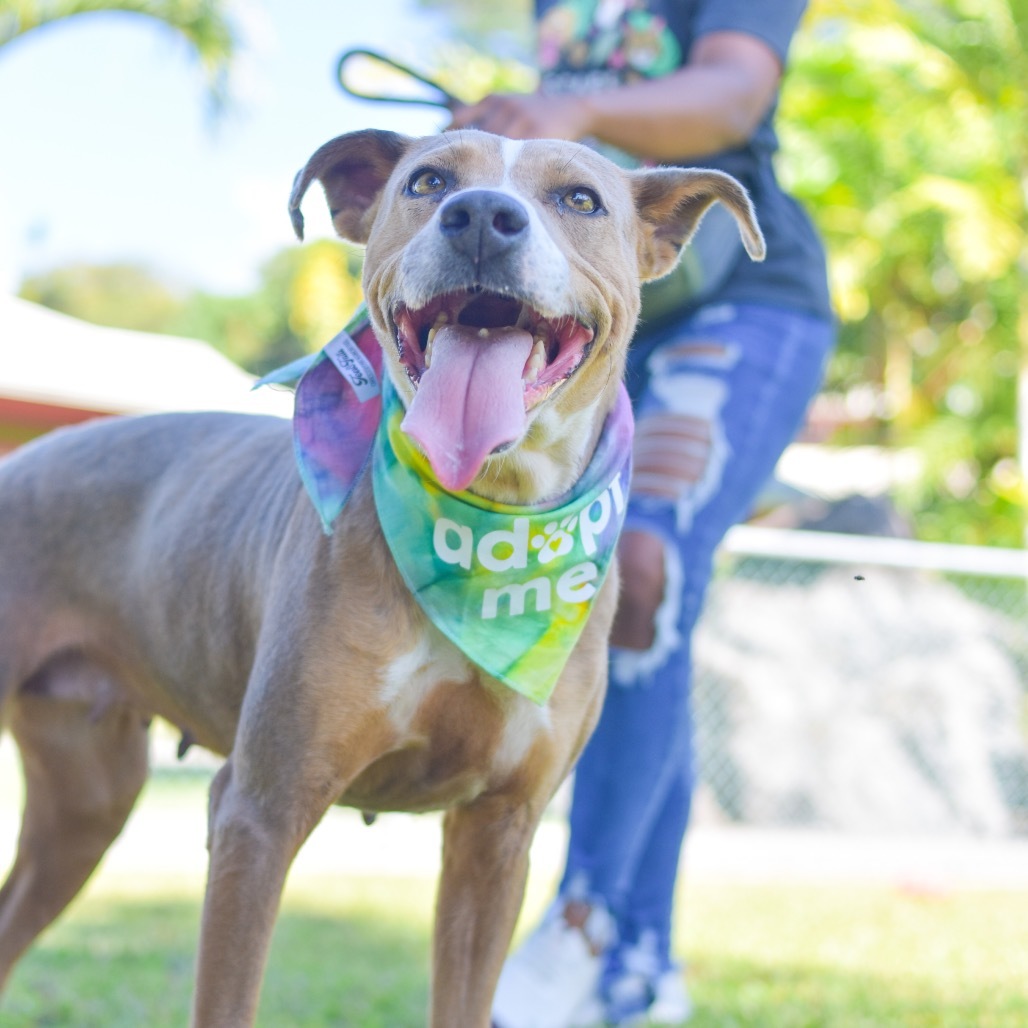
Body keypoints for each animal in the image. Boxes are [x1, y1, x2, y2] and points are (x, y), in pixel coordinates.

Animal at [0, 130, 764, 1028]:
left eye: (580, 199)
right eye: (427, 182)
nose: (481, 215)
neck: (486, 524)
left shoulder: (497, 837)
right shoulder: (260, 811)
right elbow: (229, 993)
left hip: (83, 807)